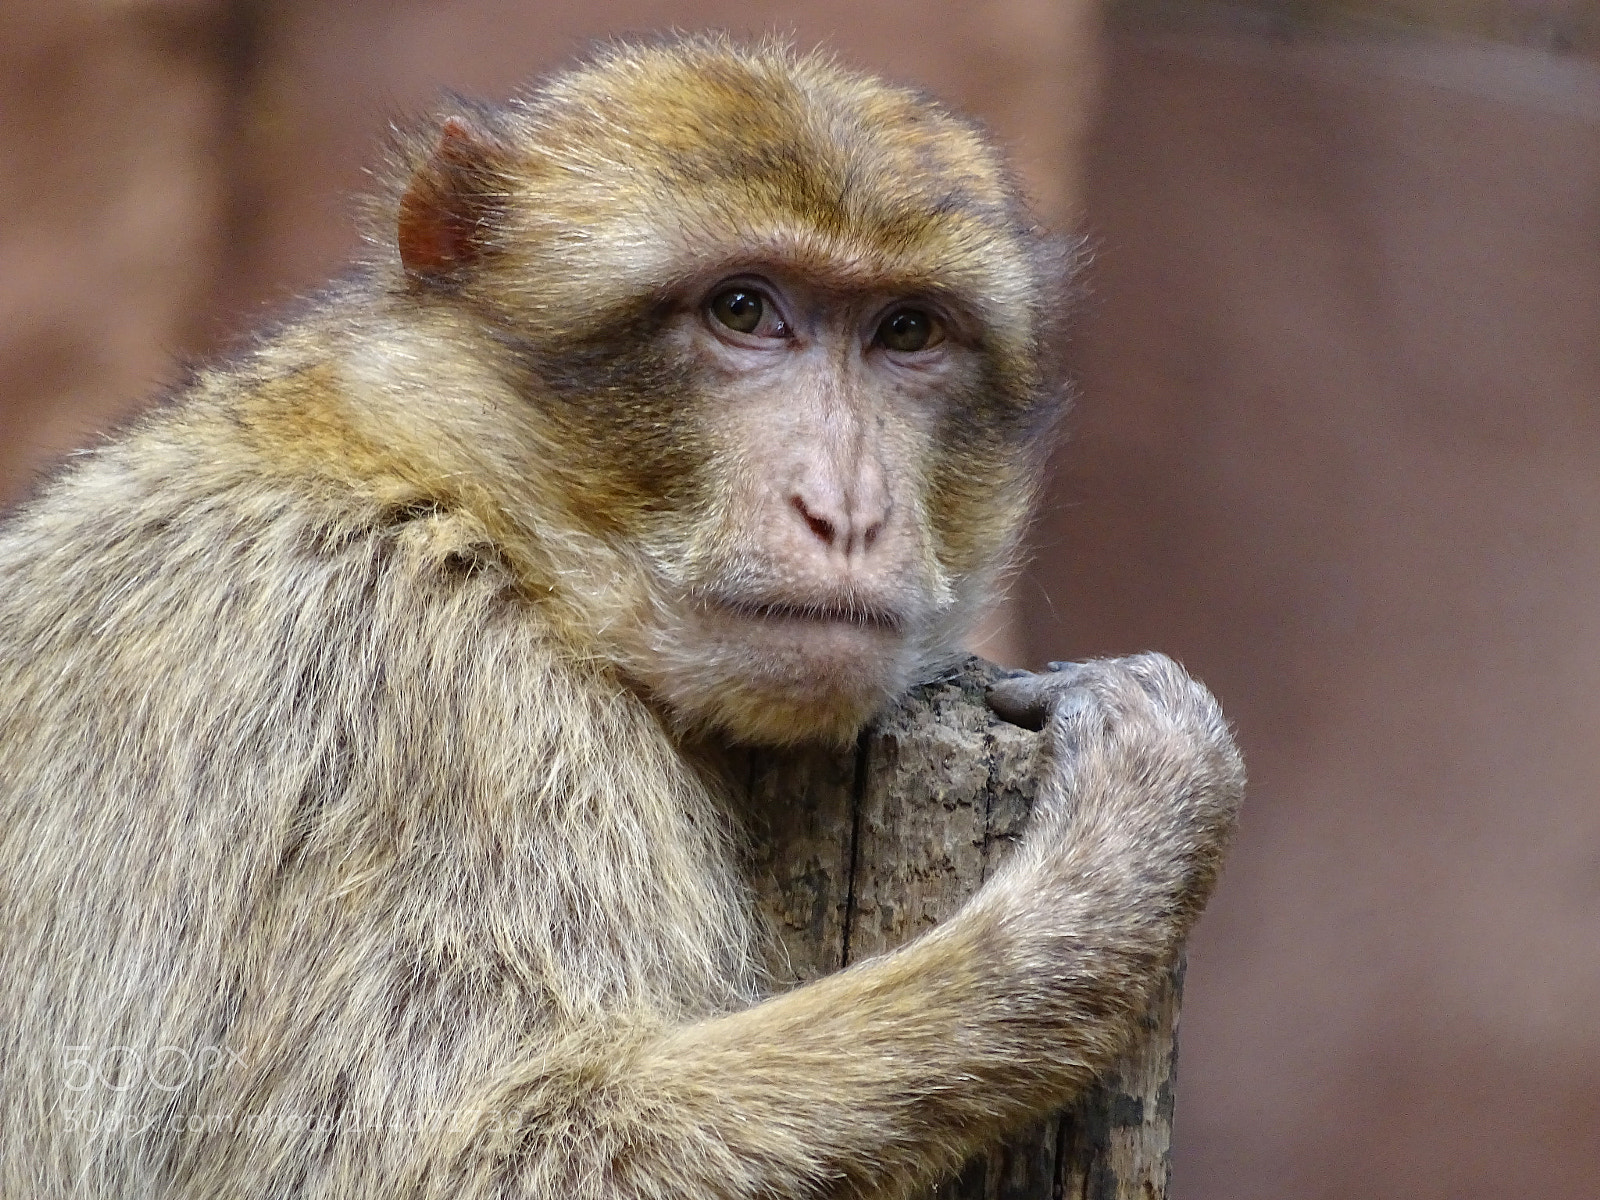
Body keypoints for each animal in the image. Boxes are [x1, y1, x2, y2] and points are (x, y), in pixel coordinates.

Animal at [0, 35, 1242, 1200]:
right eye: (743, 310)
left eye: (904, 332)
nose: (846, 509)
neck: (458, 495)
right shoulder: (441, 694)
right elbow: (485, 1156)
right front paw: (1116, 863)